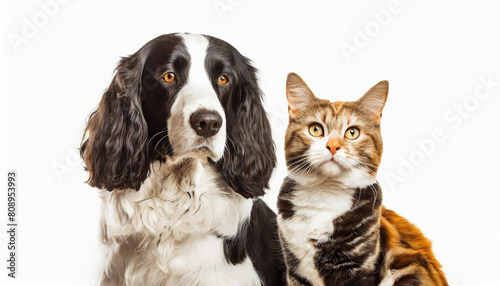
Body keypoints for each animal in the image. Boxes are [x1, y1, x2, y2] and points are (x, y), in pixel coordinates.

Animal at [276, 72, 448, 284]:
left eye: (352, 132)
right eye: (316, 129)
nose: (333, 146)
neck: (325, 195)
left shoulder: (362, 265)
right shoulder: (296, 271)